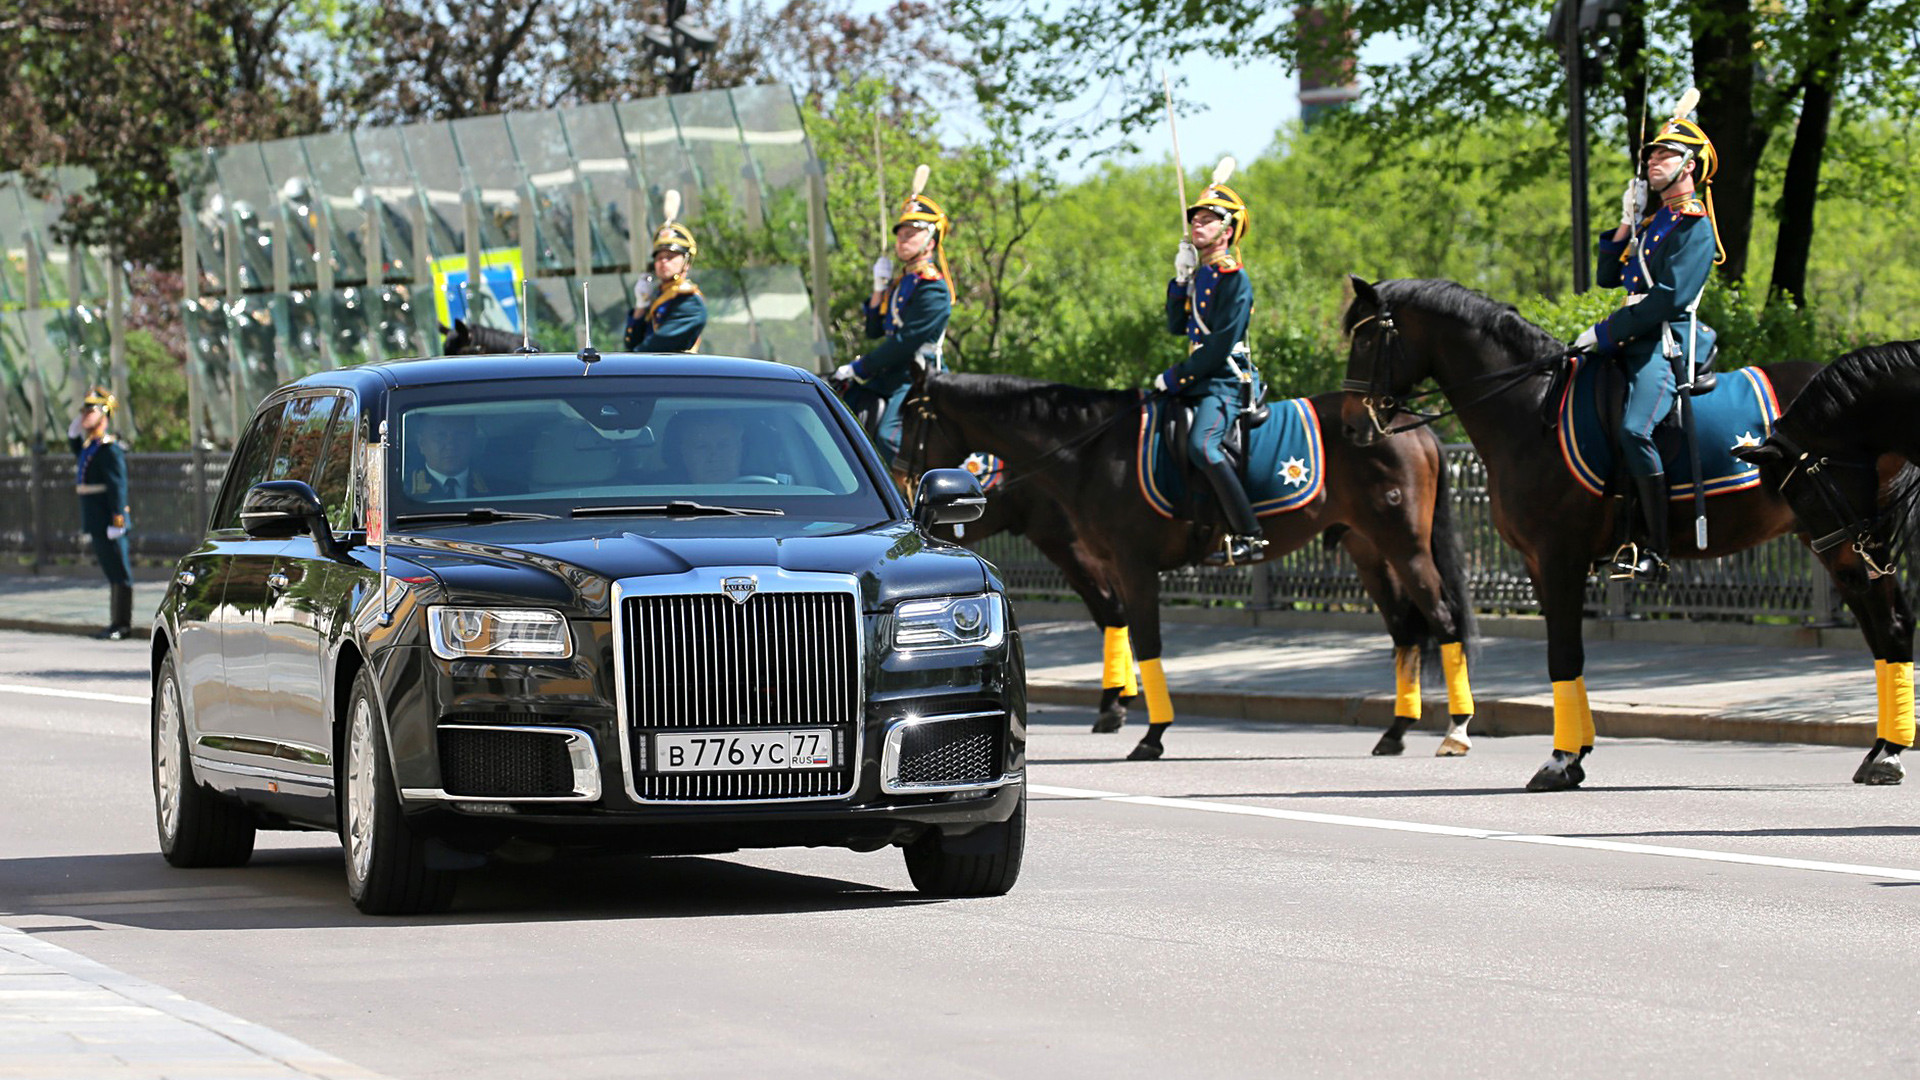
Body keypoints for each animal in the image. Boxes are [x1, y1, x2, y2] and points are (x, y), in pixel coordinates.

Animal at [902, 367, 1482, 757]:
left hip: (1404, 546)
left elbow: (1148, 641)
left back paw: (1455, 728)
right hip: (1369, 551)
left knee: (1442, 619)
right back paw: (1396, 731)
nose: (906, 480)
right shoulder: (1114, 562)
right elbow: (1132, 634)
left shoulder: (1134, 566)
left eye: (909, 417)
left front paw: (1153, 734)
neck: (1094, 449)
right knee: (1406, 631)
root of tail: (1410, 426)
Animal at [1336, 272, 1827, 787]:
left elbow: (1563, 655)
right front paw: (1576, 754)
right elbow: (1569, 657)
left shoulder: (1560, 557)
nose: (1349, 426)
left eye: (1365, 339)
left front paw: (1560, 759)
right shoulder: (1538, 564)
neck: (1531, 411)